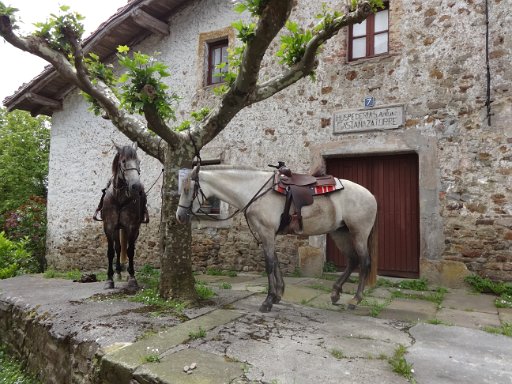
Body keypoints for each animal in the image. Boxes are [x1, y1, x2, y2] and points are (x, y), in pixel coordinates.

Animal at [176, 164, 376, 312]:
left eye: (187, 189)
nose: (179, 216)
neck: (253, 191)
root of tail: (370, 195)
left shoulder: (266, 232)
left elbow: (269, 264)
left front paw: (268, 300)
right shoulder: (267, 234)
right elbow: (276, 261)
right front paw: (278, 294)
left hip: (358, 232)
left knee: (364, 261)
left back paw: (355, 300)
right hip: (340, 232)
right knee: (352, 260)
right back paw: (335, 293)